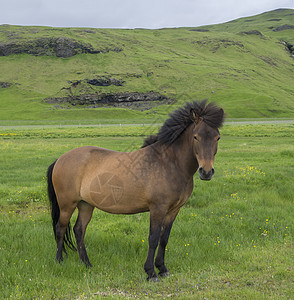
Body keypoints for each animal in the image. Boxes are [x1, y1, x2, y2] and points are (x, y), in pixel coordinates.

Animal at [47, 101, 224, 282]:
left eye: (217, 137)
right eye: (196, 136)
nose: (206, 172)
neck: (169, 164)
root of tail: (60, 159)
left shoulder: (174, 210)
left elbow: (164, 239)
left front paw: (163, 269)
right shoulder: (157, 209)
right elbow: (153, 239)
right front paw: (151, 273)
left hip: (86, 205)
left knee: (79, 230)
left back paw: (87, 263)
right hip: (67, 205)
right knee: (61, 228)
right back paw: (59, 261)